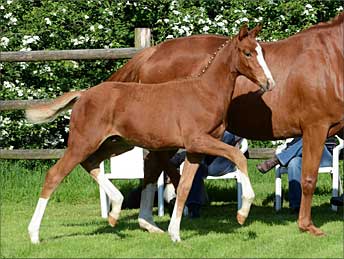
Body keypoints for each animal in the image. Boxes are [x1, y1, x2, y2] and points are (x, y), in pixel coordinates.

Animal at [26, 25, 274, 245]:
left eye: (261, 52)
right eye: (248, 53)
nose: (269, 83)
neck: (205, 93)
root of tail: (83, 95)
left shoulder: (195, 150)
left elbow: (184, 187)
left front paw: (175, 234)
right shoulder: (199, 140)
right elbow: (238, 156)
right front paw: (242, 212)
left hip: (117, 143)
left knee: (91, 162)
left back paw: (115, 210)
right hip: (83, 142)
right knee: (54, 175)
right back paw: (34, 234)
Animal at [107, 11, 342, 236]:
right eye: (248, 54)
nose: (269, 83)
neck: (330, 56)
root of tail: (151, 53)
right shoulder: (315, 128)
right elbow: (309, 178)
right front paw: (307, 226)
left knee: (152, 167)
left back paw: (149, 222)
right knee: (156, 164)